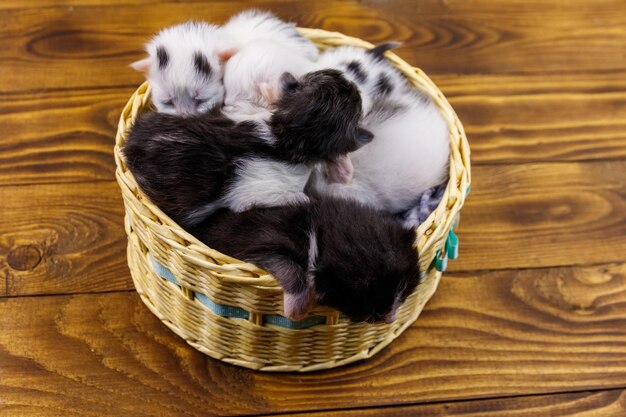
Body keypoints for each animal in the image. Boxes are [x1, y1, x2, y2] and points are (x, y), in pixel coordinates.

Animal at [120, 70, 370, 228]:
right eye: (357, 105)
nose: (352, 85)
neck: (283, 133)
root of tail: (129, 146)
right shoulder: (262, 191)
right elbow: (301, 198)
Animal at [188, 197, 416, 324]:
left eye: (405, 290)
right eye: (367, 299)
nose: (391, 319)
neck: (317, 236)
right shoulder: (258, 240)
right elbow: (285, 263)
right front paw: (296, 309)